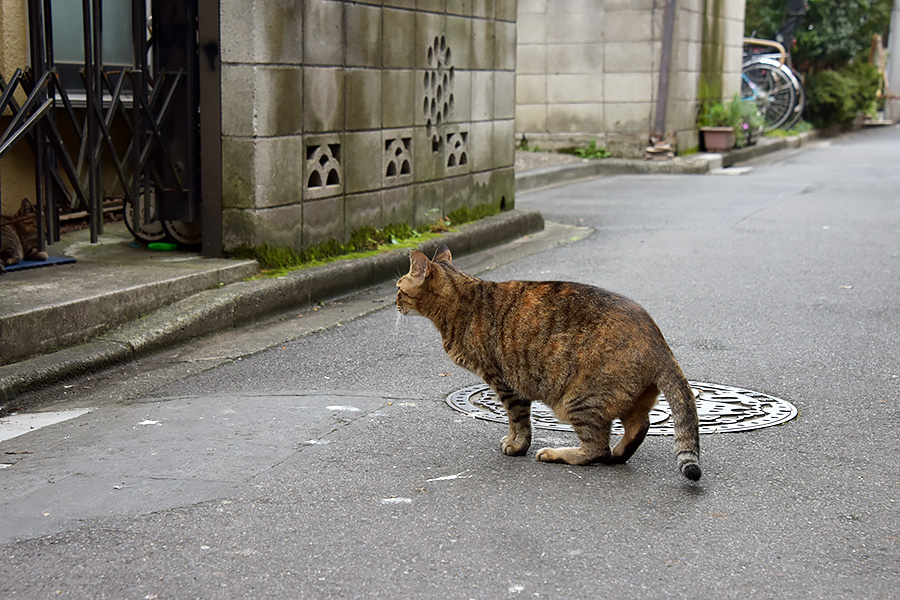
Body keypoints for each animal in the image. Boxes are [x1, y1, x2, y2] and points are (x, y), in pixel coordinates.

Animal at [396, 245, 704, 482]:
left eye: (398, 288)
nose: (395, 303)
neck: (461, 302)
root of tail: (659, 343)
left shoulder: (505, 382)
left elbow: (518, 421)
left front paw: (516, 446)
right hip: (624, 398)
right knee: (638, 427)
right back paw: (619, 454)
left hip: (579, 399)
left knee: (597, 449)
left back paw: (557, 454)